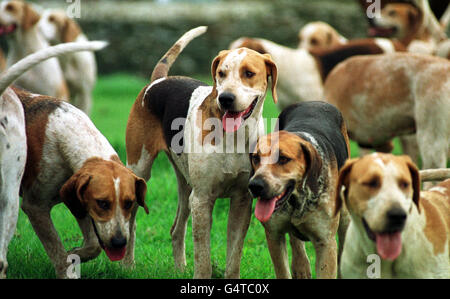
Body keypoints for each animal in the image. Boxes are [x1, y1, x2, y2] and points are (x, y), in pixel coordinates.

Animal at [125, 27, 276, 278]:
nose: (225, 98)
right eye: (221, 73)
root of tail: (158, 80)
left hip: (186, 187)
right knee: (132, 223)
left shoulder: (242, 200)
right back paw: (127, 264)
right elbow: (203, 258)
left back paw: (179, 268)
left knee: (176, 229)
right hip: (141, 170)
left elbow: (234, 257)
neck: (233, 137)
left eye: (249, 73)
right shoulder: (203, 199)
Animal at [248, 102, 350, 280]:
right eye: (256, 158)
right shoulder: (274, 235)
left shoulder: (325, 243)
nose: (255, 185)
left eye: (283, 159)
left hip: (344, 215)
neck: (297, 200)